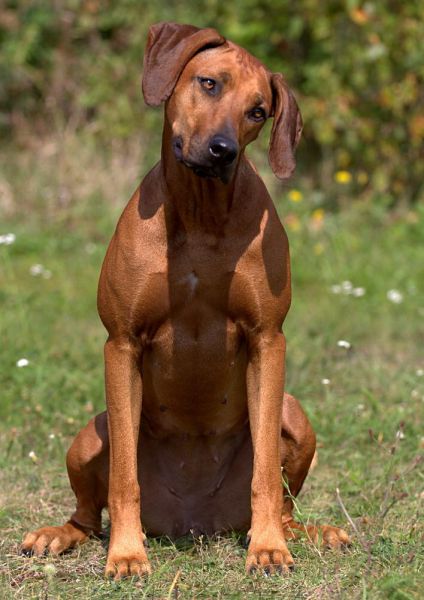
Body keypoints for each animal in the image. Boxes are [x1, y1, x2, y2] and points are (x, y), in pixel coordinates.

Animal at [22, 22, 350, 578]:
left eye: (258, 111)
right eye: (209, 83)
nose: (222, 150)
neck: (200, 215)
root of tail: (194, 524)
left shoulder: (268, 340)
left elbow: (266, 472)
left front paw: (268, 549)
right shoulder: (121, 343)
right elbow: (124, 477)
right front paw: (126, 554)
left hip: (296, 413)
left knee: (285, 502)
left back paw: (305, 533)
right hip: (91, 432)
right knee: (88, 513)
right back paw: (57, 535)